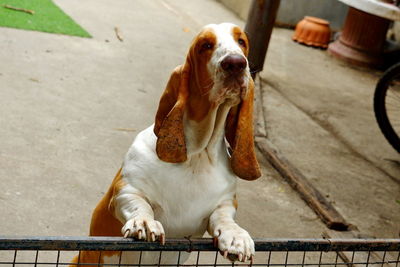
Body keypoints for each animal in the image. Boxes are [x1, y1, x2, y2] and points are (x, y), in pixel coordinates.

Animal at [70, 22, 260, 267]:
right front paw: (144, 222)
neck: (197, 155)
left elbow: (224, 217)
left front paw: (236, 236)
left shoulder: (225, 203)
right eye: (205, 45)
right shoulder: (126, 191)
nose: (236, 63)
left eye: (241, 41)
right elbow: (140, 205)